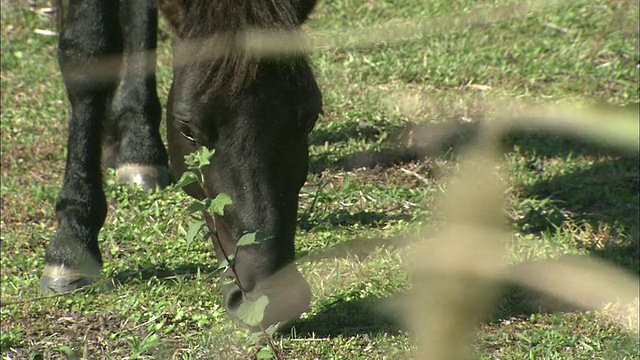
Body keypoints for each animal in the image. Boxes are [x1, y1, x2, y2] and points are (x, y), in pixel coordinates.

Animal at [43, 0, 324, 326]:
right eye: (187, 128)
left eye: (311, 116)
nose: (274, 299)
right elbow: (88, 49)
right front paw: (72, 243)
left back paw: (138, 147)